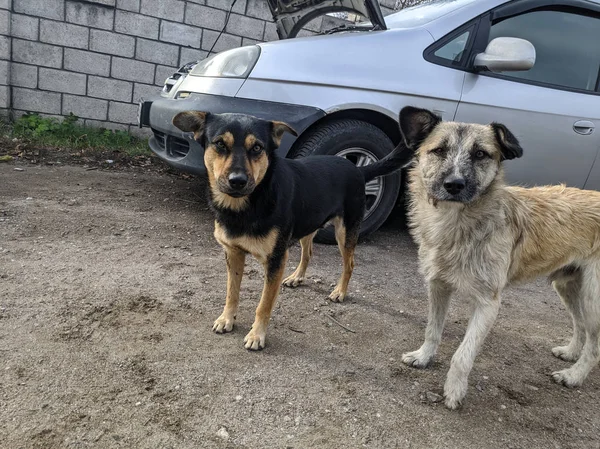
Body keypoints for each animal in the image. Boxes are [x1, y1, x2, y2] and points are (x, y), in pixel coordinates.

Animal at [171, 110, 410, 348]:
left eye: (257, 148)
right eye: (220, 144)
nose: (237, 181)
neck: (247, 205)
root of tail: (358, 169)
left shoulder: (276, 259)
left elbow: (264, 304)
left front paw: (257, 335)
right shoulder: (233, 252)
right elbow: (232, 293)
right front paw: (226, 319)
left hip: (345, 232)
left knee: (349, 263)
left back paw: (340, 292)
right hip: (308, 224)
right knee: (308, 252)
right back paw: (297, 277)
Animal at [398, 106, 600, 410]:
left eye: (481, 154)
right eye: (439, 150)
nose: (454, 184)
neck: (455, 224)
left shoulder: (488, 304)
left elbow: (462, 355)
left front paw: (454, 392)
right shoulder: (438, 286)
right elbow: (432, 330)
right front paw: (423, 357)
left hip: (592, 297)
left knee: (595, 344)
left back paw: (574, 376)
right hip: (567, 285)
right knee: (580, 325)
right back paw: (570, 352)